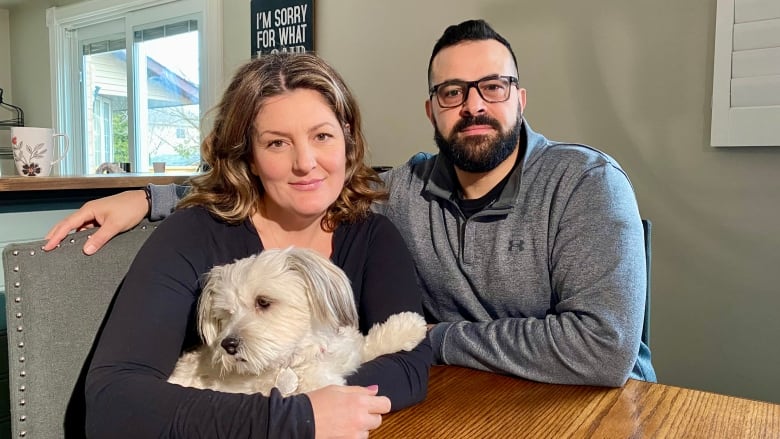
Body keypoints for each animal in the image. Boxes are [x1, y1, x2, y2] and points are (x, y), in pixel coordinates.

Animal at [168, 248, 430, 396]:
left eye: (263, 302)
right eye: (226, 314)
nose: (228, 345)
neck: (295, 360)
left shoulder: (345, 353)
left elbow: (365, 344)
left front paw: (406, 327)